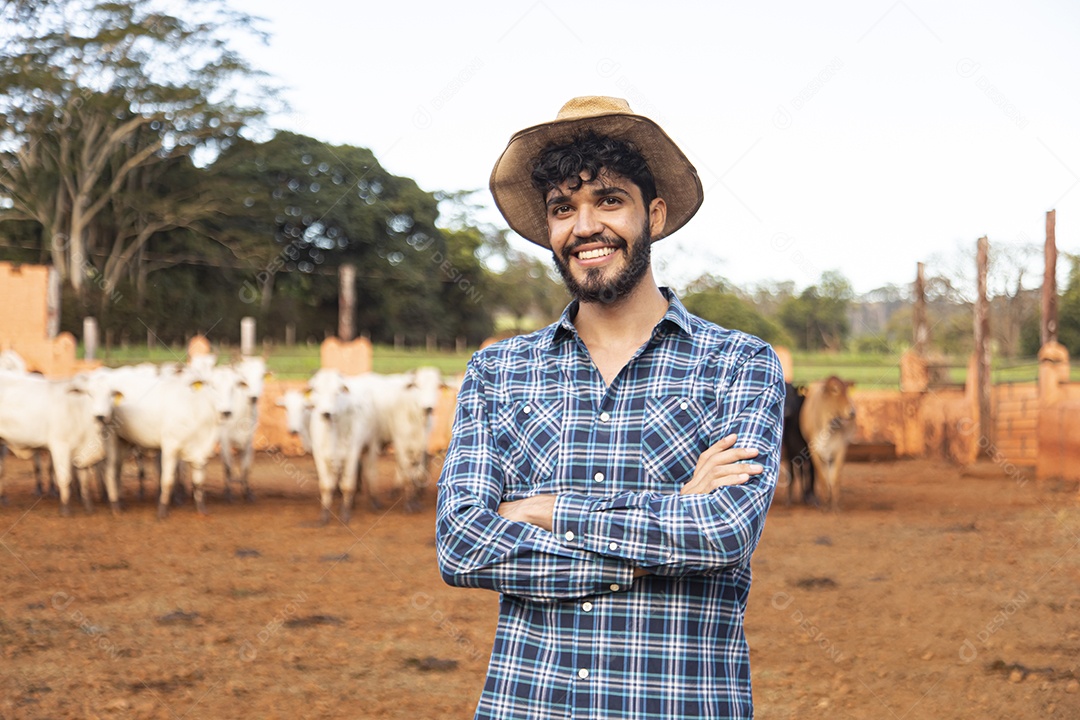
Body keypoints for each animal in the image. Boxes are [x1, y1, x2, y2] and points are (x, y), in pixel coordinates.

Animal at [0, 369, 116, 515]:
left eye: (110, 395)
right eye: (90, 393)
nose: (100, 416)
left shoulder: (82, 451)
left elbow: (84, 479)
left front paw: (88, 506)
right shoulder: (60, 446)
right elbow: (64, 477)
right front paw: (65, 508)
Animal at [799, 377, 855, 511]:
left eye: (847, 390)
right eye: (834, 390)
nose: (852, 412)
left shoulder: (840, 450)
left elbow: (834, 478)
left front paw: (834, 505)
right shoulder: (814, 451)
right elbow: (823, 477)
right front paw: (824, 504)